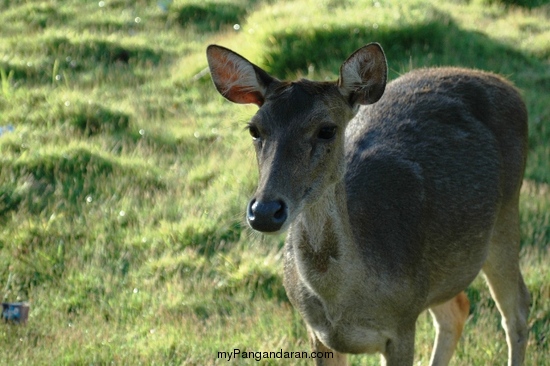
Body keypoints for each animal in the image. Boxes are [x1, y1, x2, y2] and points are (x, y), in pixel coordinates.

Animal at [206, 43, 532, 366]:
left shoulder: (402, 322)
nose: (264, 211)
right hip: (443, 271)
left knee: (517, 308)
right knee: (457, 310)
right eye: (254, 129)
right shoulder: (316, 331)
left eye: (327, 129)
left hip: (505, 217)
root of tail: (509, 86)